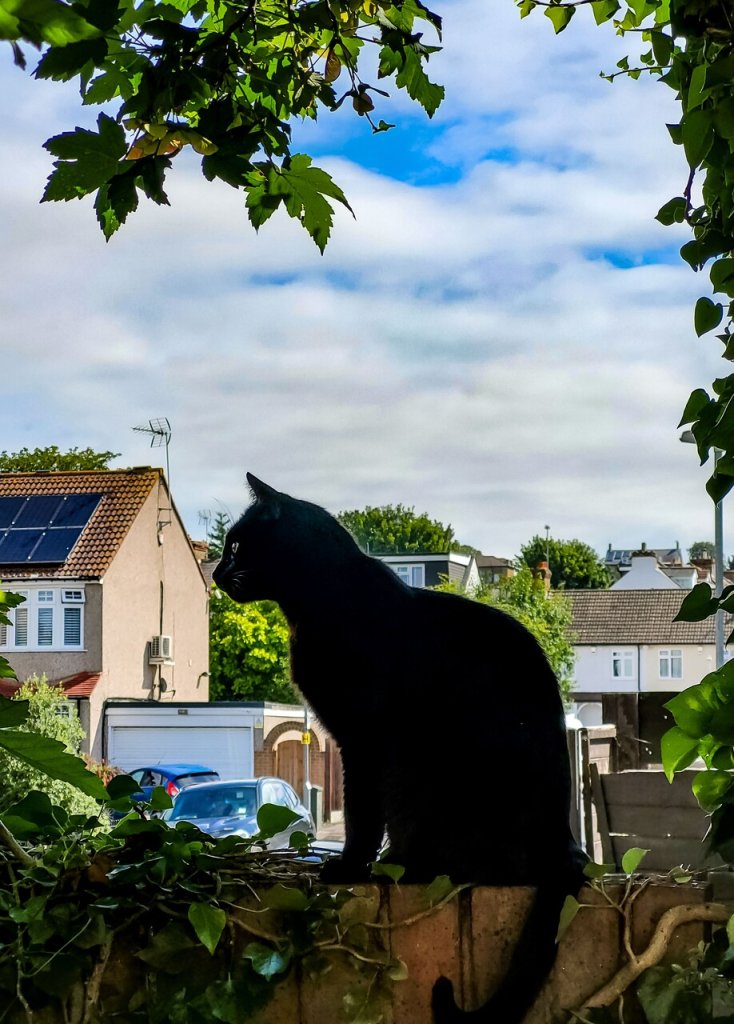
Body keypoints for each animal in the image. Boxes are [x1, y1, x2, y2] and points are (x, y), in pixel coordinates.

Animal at [210, 475, 585, 1019]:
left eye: (237, 545)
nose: (217, 571)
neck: (320, 602)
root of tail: (565, 844)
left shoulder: (363, 739)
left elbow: (361, 811)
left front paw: (348, 866)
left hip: (427, 777)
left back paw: (402, 867)